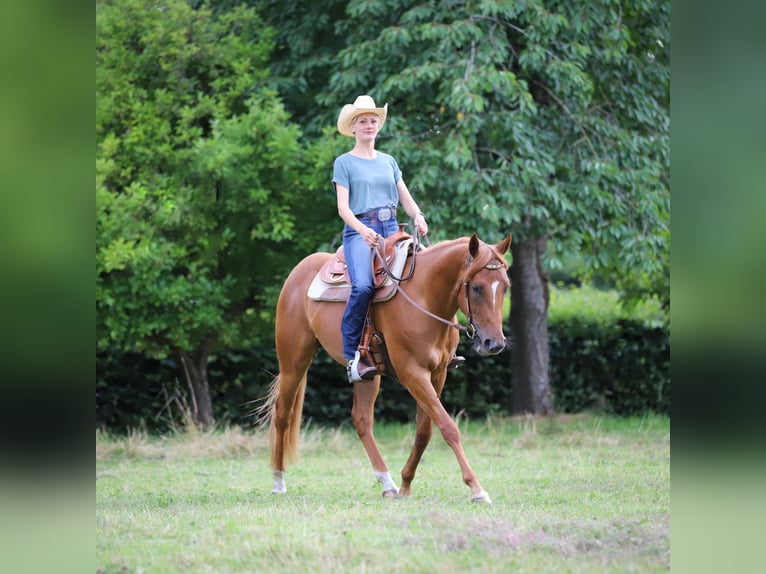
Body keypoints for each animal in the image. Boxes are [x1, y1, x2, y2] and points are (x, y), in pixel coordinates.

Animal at [258, 232, 512, 503]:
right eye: (476, 287)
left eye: (505, 286)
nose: (494, 343)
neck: (424, 298)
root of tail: (299, 270)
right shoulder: (413, 374)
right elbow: (448, 427)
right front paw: (476, 488)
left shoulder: (437, 374)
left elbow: (424, 431)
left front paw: (405, 483)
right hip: (293, 362)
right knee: (283, 414)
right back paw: (278, 480)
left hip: (368, 376)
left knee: (361, 419)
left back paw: (387, 482)